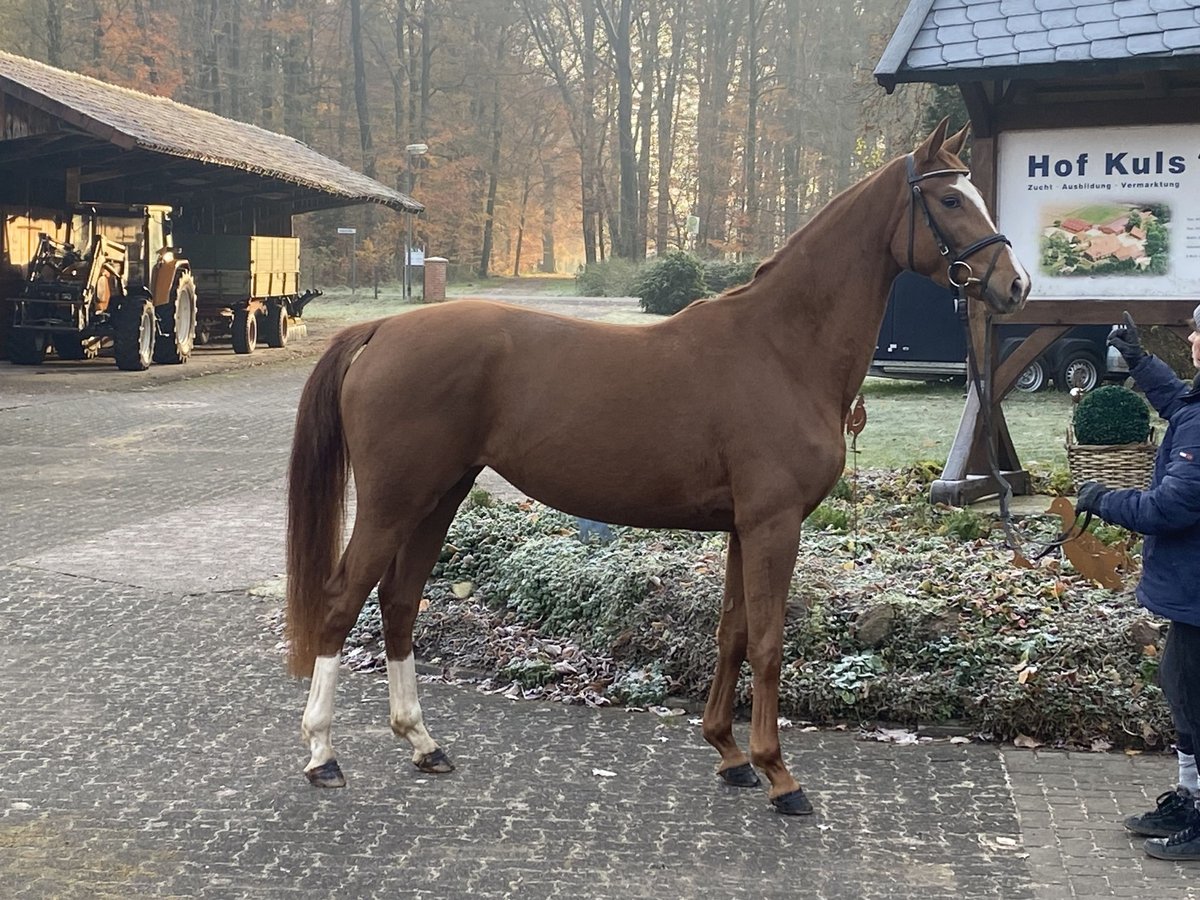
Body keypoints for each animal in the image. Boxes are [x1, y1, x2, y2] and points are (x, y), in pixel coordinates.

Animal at [283, 120, 1032, 816]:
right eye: (949, 198)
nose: (1015, 285)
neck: (781, 347)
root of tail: (381, 330)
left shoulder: (745, 528)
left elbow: (732, 634)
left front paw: (730, 755)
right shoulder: (774, 524)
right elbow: (767, 642)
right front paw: (779, 775)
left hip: (439, 497)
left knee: (400, 602)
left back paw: (422, 742)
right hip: (393, 502)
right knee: (342, 601)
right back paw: (322, 754)